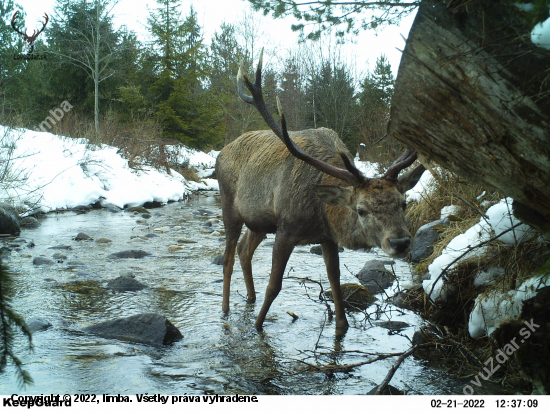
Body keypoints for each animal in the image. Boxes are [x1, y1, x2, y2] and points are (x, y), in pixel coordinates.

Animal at [216, 50, 426, 334]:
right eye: (361, 210)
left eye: (403, 203)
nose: (401, 242)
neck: (320, 213)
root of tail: (221, 153)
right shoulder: (286, 229)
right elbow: (274, 285)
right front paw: (258, 326)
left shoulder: (327, 237)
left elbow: (334, 281)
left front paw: (341, 327)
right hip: (229, 207)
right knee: (227, 259)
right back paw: (226, 309)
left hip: (259, 222)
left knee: (243, 250)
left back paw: (250, 297)